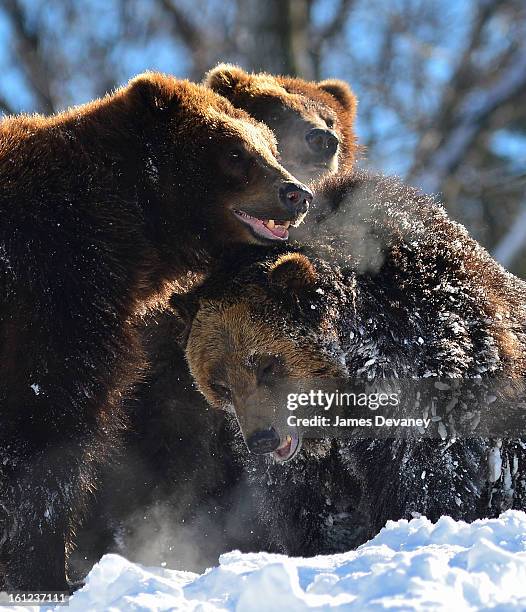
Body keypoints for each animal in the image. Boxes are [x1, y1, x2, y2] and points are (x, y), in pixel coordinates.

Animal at [1, 71, 314, 592]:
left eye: (269, 146)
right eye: (234, 152)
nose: (297, 193)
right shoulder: (53, 294)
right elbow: (49, 428)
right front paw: (51, 573)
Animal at [180, 170, 526, 556]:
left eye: (267, 365)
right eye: (220, 384)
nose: (263, 439)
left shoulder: (427, 383)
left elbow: (424, 477)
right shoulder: (306, 462)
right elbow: (308, 503)